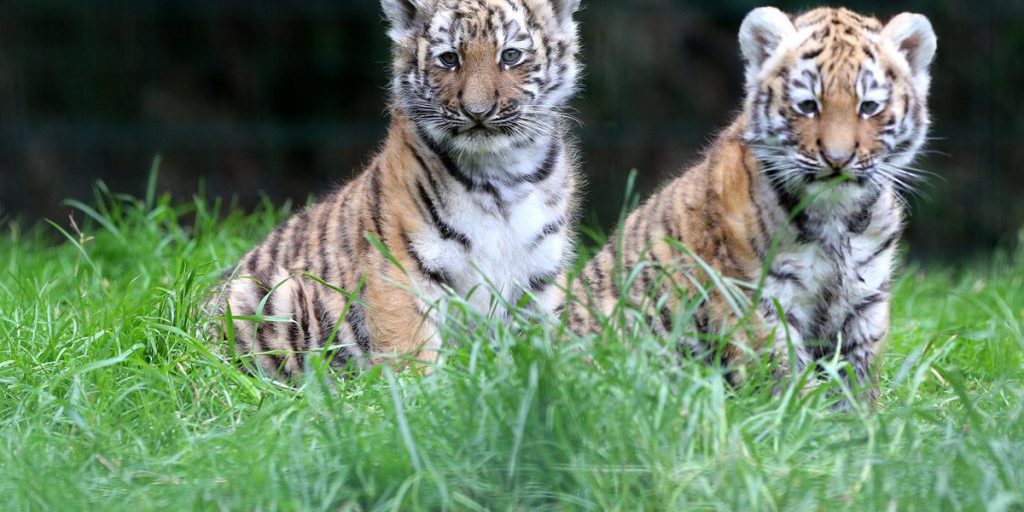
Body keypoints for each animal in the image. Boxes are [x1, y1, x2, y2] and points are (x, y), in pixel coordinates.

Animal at [212, 0, 582, 379]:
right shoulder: (400, 263)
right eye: (449, 59)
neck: (500, 174)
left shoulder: (540, 274)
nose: (477, 112)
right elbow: (411, 344)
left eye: (510, 55)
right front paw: (421, 388)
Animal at [563, 7, 937, 401]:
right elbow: (788, 374)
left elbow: (857, 376)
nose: (838, 160)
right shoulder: (758, 300)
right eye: (808, 106)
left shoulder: (865, 300)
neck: (836, 216)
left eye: (868, 107)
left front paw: (861, 416)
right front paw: (804, 412)